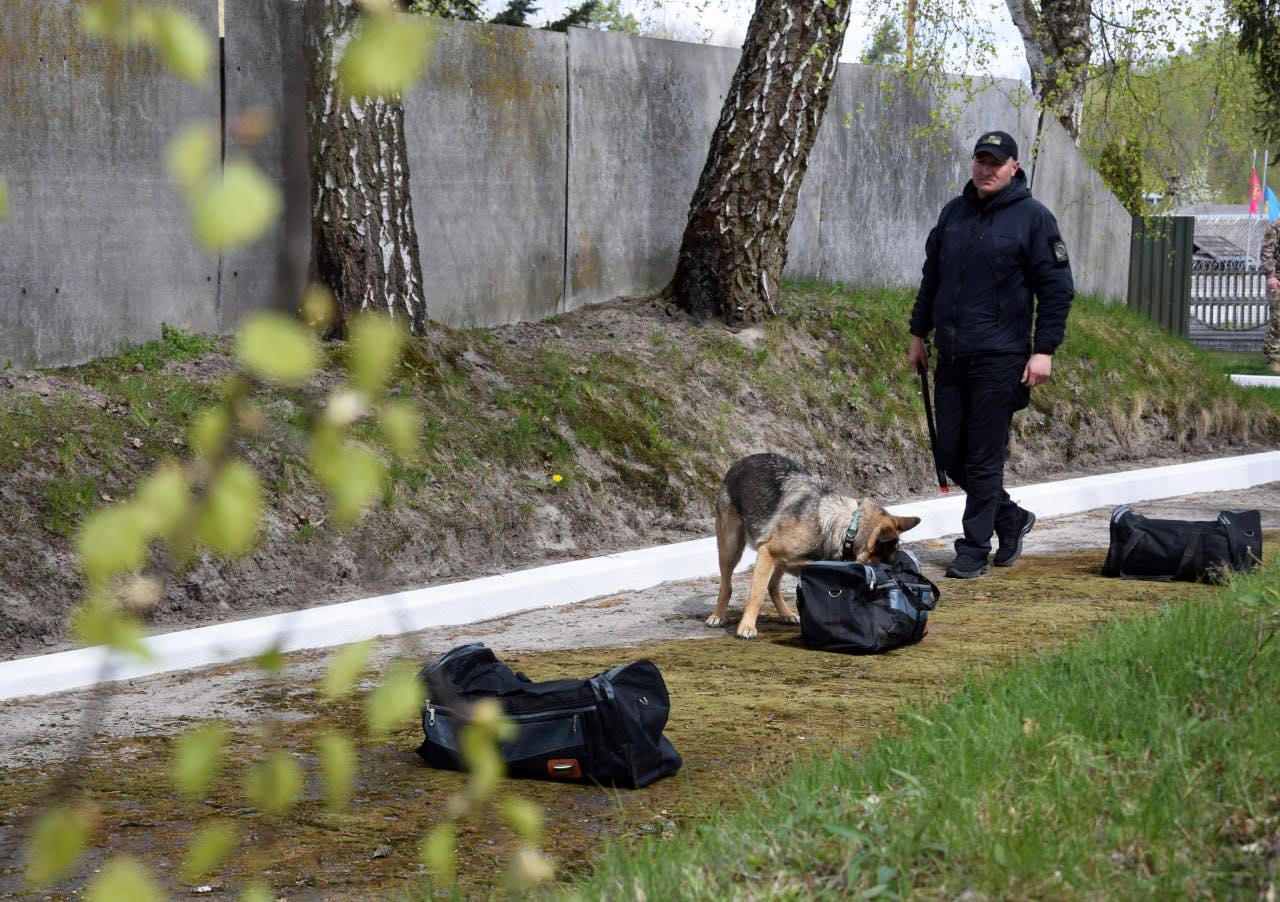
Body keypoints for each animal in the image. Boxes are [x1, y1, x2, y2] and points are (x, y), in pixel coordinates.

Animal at [708, 453, 921, 639]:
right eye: (884, 567)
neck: (848, 528)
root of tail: (741, 462)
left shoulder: (786, 558)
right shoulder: (768, 552)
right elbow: (756, 594)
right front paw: (746, 626)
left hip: (774, 560)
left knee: (772, 585)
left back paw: (786, 613)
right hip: (731, 549)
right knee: (727, 586)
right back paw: (717, 616)